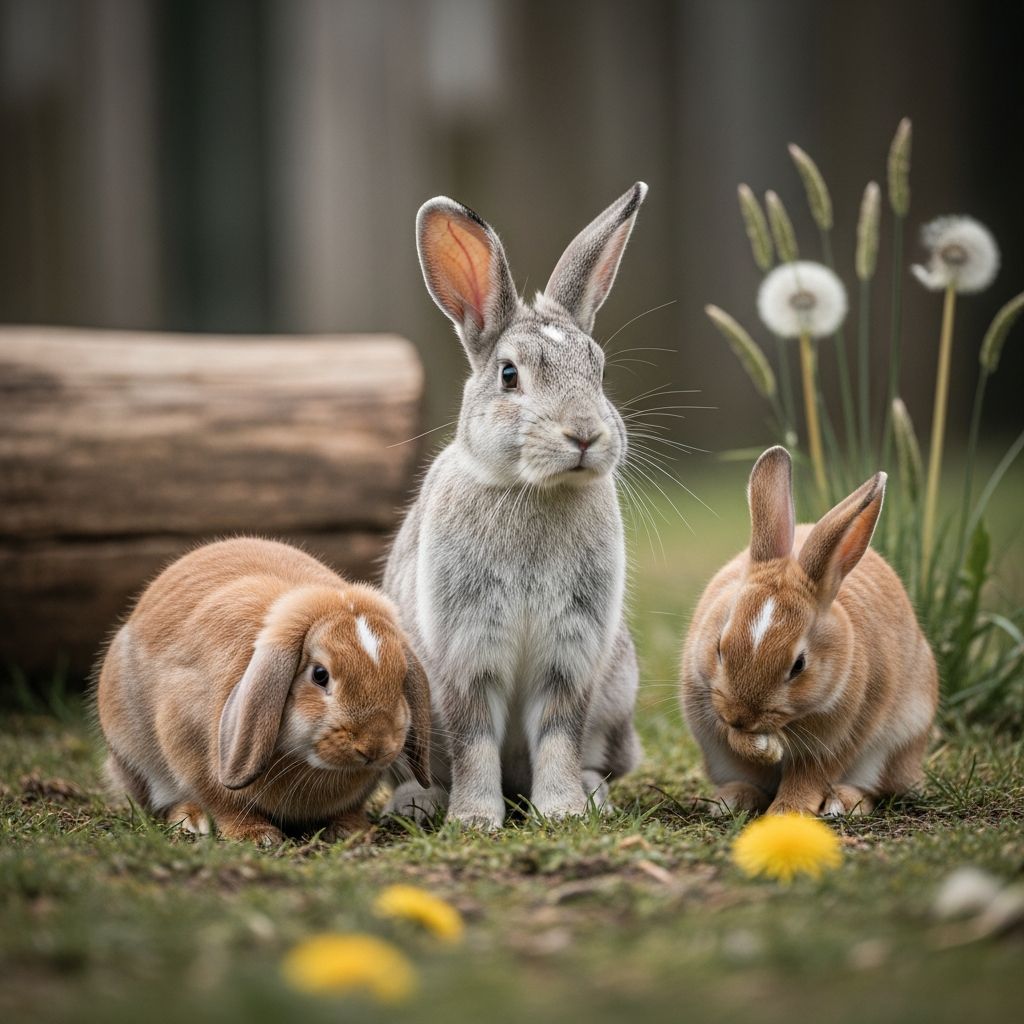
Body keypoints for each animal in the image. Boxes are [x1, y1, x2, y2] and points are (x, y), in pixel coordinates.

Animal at [95, 537, 431, 845]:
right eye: (320, 675)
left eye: (401, 676)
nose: (374, 746)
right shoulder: (190, 745)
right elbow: (223, 802)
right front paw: (257, 836)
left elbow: (348, 808)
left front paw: (354, 831)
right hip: (131, 758)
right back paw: (192, 820)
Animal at [384, 183, 647, 828]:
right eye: (509, 375)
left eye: (600, 372)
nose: (585, 434)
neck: (533, 489)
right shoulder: (465, 654)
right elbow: (473, 738)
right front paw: (476, 819)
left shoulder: (570, 657)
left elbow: (557, 733)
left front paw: (564, 812)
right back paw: (421, 803)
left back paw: (591, 795)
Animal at [680, 446, 937, 817]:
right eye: (719, 648)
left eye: (799, 666)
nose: (740, 717)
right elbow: (737, 742)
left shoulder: (838, 737)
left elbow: (809, 777)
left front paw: (787, 813)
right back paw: (733, 799)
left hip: (897, 744)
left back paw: (843, 803)